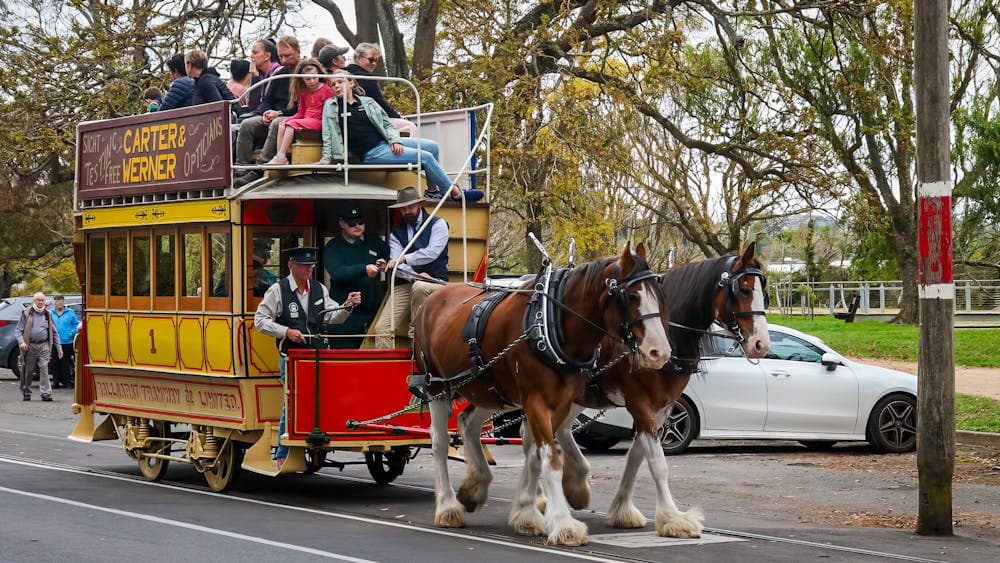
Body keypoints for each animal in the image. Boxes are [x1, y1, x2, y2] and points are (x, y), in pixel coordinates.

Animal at [414, 243, 672, 548]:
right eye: (631, 296)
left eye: (660, 294)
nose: (660, 353)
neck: (550, 323)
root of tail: (434, 296)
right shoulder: (535, 400)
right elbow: (551, 459)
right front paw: (562, 523)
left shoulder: (559, 402)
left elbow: (537, 454)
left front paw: (527, 513)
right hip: (436, 387)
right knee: (440, 442)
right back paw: (447, 506)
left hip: (491, 390)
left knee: (468, 423)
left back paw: (475, 485)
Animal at [528, 241, 768, 536]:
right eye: (744, 290)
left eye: (763, 293)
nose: (761, 344)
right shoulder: (640, 404)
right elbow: (657, 463)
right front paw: (672, 517)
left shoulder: (661, 408)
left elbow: (636, 456)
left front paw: (623, 509)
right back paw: (544, 497)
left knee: (555, 430)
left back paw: (571, 486)